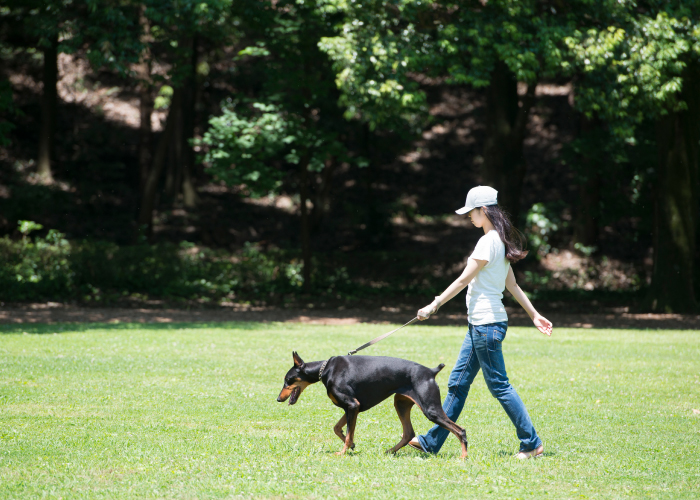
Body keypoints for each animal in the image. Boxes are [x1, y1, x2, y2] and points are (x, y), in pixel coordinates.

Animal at [276, 352, 468, 458]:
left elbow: (347, 433)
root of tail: (431, 372)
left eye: (287, 380)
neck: (326, 369)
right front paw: (352, 446)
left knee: (460, 430)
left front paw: (343, 452)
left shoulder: (352, 405)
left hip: (430, 409)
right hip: (400, 403)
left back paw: (463, 457)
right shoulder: (353, 408)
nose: (278, 399)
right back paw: (390, 451)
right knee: (408, 433)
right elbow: (338, 428)